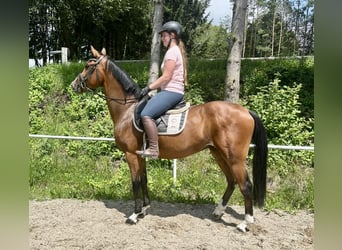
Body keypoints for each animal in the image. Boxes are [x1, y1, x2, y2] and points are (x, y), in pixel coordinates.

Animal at [71, 46, 268, 231]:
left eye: (88, 65)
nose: (74, 85)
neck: (127, 110)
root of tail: (245, 111)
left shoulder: (131, 154)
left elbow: (135, 183)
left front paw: (134, 215)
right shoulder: (140, 155)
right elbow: (144, 179)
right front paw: (144, 210)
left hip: (235, 158)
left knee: (246, 185)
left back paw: (245, 223)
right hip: (218, 153)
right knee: (231, 181)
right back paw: (218, 212)